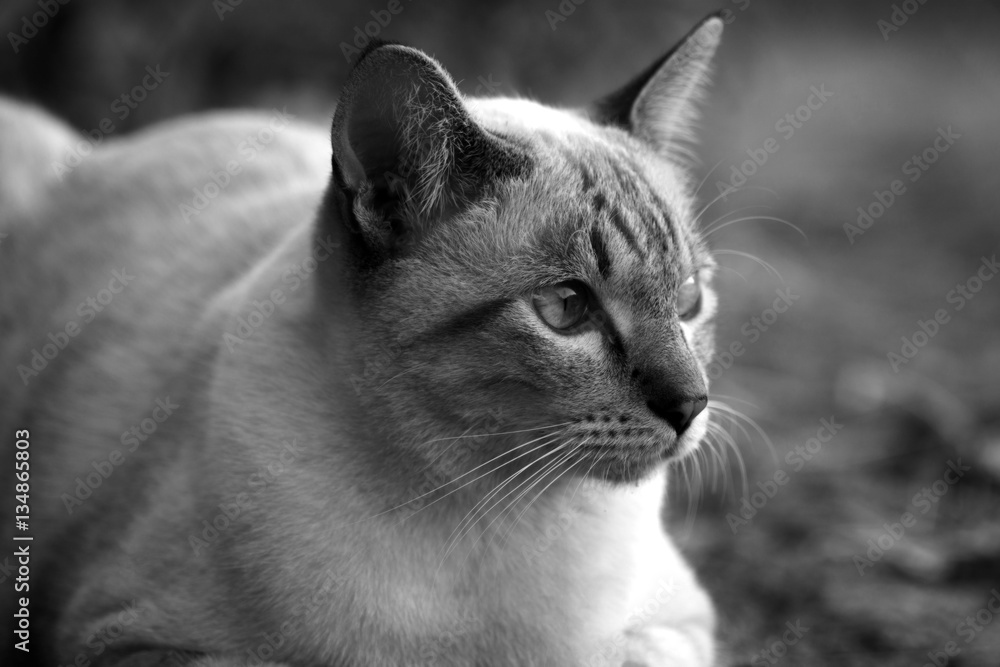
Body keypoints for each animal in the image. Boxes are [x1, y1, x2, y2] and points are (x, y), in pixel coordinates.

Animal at [0, 11, 724, 667]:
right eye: (567, 308)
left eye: (690, 300)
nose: (692, 403)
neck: (485, 507)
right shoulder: (128, 640)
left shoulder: (678, 628)